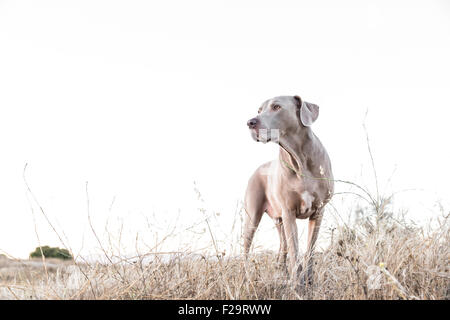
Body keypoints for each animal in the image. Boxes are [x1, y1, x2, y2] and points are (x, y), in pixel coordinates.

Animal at [244, 95, 332, 284]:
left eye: (276, 107)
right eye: (259, 110)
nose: (250, 122)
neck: (299, 158)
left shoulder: (318, 212)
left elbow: (310, 249)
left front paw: (309, 281)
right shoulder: (289, 212)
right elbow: (294, 251)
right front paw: (296, 283)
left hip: (279, 219)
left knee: (282, 247)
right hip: (253, 217)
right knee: (247, 249)